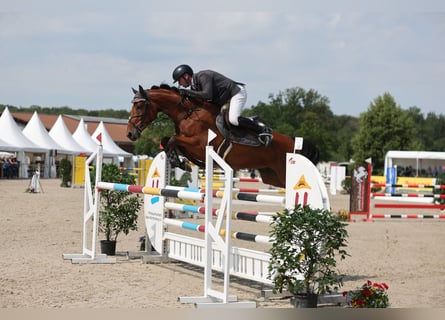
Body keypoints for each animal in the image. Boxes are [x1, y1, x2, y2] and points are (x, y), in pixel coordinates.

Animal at [126, 84, 318, 188]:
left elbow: (172, 139)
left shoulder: (199, 144)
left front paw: (180, 162)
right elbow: (167, 141)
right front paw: (179, 161)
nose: (130, 133)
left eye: (140, 106)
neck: (187, 113)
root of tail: (292, 141)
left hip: (284, 173)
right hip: (272, 176)